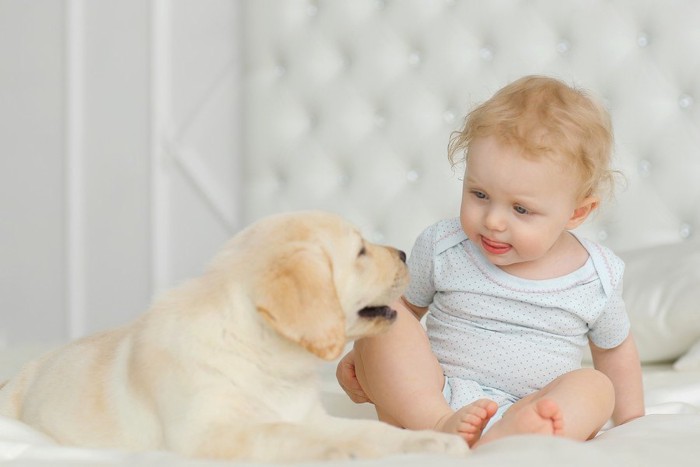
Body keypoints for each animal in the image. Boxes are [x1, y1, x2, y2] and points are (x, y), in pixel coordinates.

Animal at [1, 214, 470, 462]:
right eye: (359, 252)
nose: (405, 253)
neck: (263, 356)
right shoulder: (208, 435)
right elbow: (291, 435)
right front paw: (340, 451)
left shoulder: (311, 415)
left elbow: (373, 431)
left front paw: (430, 441)